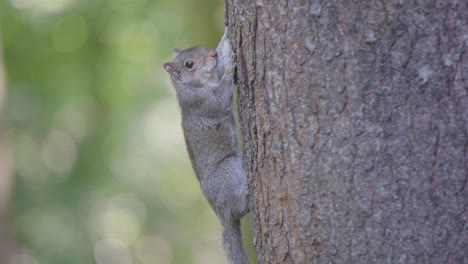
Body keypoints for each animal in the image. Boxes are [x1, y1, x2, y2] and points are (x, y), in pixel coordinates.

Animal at [164, 29, 250, 264]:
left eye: (202, 47)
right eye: (189, 64)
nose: (213, 54)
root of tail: (220, 214)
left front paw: (225, 43)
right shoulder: (204, 104)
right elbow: (221, 97)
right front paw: (229, 66)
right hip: (229, 170)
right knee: (236, 210)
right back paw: (245, 201)